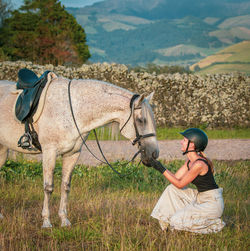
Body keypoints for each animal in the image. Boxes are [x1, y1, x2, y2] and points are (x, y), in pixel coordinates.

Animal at [0, 75, 159, 227]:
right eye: (141, 120)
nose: (154, 153)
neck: (72, 110)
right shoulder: (49, 152)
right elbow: (48, 187)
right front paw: (46, 221)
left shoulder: (72, 154)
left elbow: (65, 186)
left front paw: (64, 220)